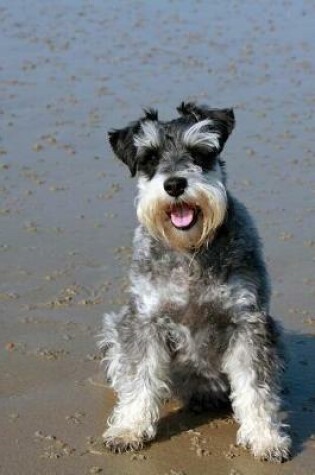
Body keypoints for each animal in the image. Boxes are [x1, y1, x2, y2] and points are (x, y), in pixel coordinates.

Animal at [100, 102, 292, 462]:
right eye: (149, 157)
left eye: (200, 152)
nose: (175, 184)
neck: (189, 252)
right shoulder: (145, 322)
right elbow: (139, 377)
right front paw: (128, 428)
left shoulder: (247, 323)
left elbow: (256, 388)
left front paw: (266, 437)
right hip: (116, 324)